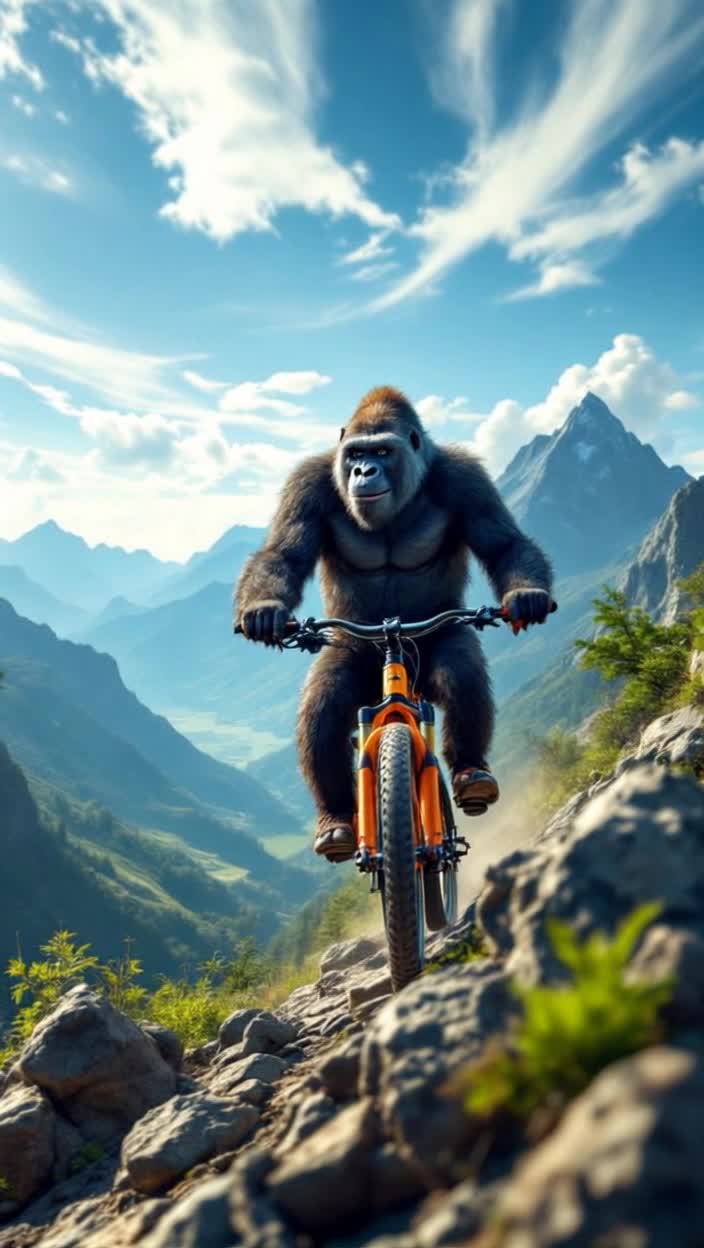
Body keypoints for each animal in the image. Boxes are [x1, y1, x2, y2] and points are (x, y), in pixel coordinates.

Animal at [235, 386, 553, 861]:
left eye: (382, 451)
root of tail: (393, 634)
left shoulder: (466, 478)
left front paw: (526, 596)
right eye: (356, 454)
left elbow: (504, 545)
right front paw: (265, 610)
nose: (363, 471)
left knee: (461, 671)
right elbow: (283, 554)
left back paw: (471, 773)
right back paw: (335, 819)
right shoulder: (307, 483)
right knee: (324, 708)